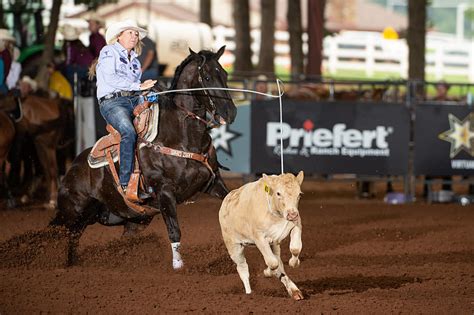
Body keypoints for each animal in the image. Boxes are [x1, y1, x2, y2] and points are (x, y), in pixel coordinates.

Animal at [50, 46, 237, 270]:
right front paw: (178, 266)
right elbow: (174, 230)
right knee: (68, 239)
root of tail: (72, 169)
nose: (231, 112)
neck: (181, 135)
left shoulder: (212, 181)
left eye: (225, 74)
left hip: (130, 219)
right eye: (207, 77)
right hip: (75, 214)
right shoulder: (164, 192)